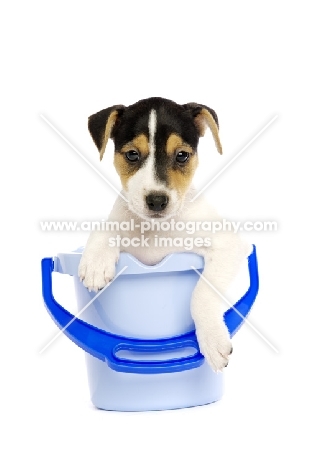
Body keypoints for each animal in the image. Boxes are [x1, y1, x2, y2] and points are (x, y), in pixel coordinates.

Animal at [78, 98, 251, 372]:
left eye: (182, 155)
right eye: (132, 154)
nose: (157, 201)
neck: (157, 229)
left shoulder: (229, 247)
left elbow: (201, 294)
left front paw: (213, 340)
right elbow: (106, 227)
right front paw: (95, 262)